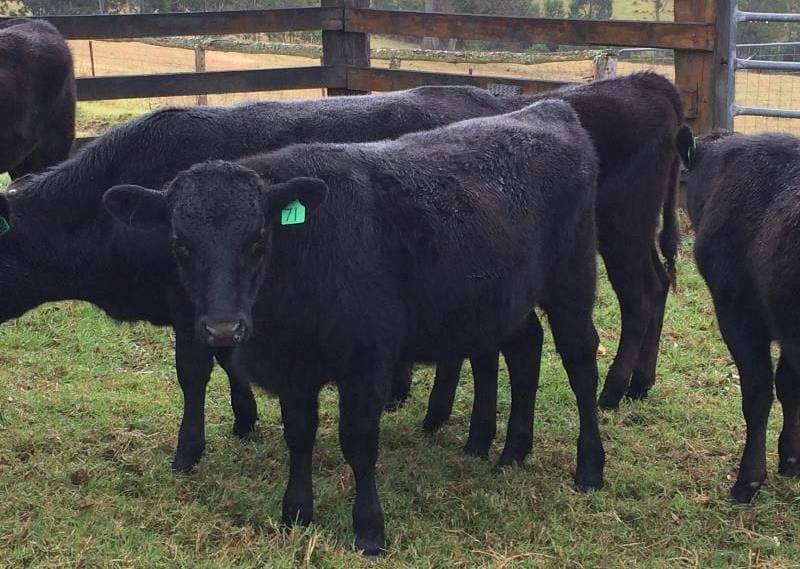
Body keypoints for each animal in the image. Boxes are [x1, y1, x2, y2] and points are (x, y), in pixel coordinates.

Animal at [0, 85, 544, 474]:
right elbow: (228, 359)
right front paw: (244, 419)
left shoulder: (190, 305)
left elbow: (193, 372)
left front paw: (187, 451)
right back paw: (440, 419)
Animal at [106, 100, 608, 552]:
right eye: (180, 244)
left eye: (258, 240)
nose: (223, 330)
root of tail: (548, 109)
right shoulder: (294, 368)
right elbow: (299, 434)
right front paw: (296, 512)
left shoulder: (368, 361)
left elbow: (359, 441)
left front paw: (368, 528)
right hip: (508, 298)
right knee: (526, 349)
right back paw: (513, 451)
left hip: (572, 281)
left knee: (581, 365)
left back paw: (590, 468)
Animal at [412, 73, 688, 454]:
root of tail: (645, 81)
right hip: (635, 232)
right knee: (658, 283)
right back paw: (641, 382)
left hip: (622, 228)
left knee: (639, 301)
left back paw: (614, 389)